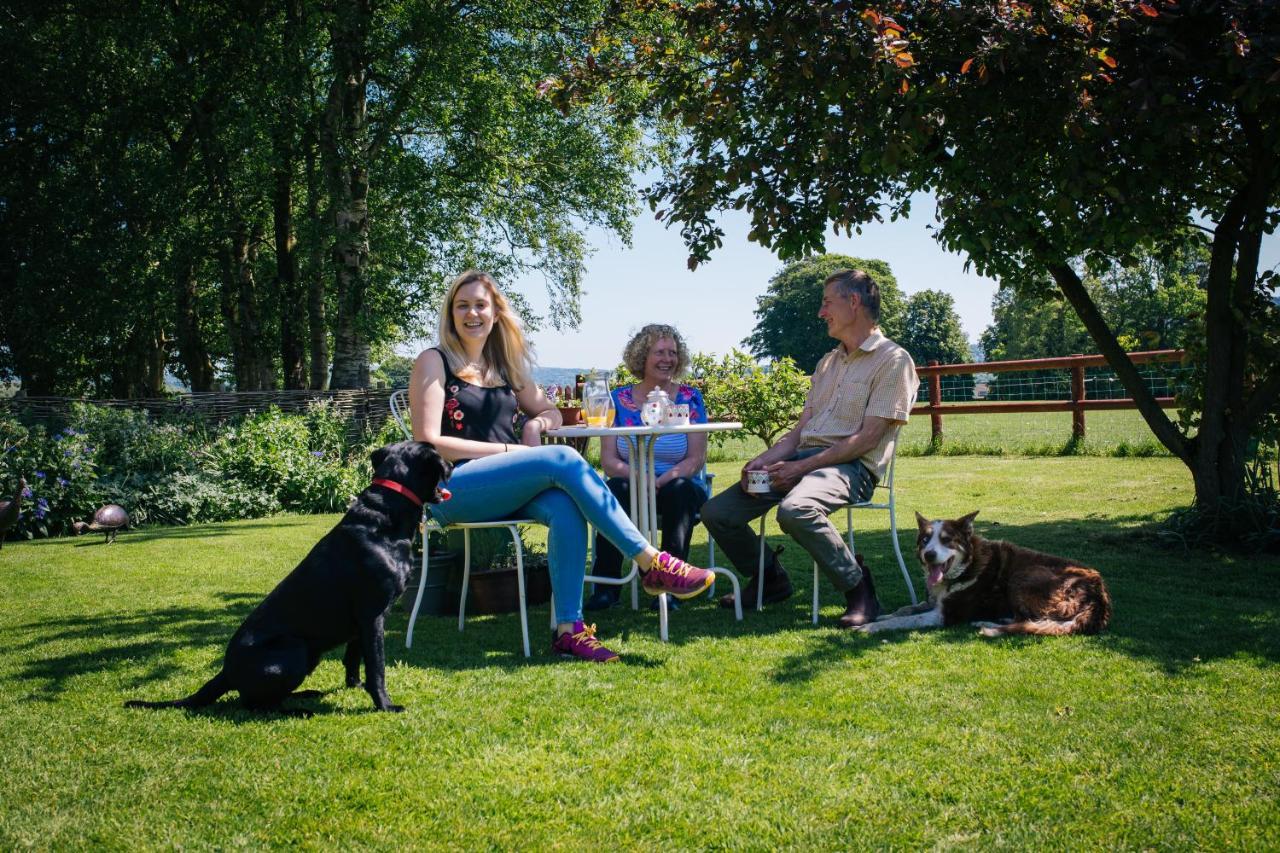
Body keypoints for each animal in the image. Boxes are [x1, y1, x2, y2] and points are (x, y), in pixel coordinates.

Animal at [124, 438, 453, 712]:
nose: (452, 463)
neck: (384, 517)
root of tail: (225, 672)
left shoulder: (363, 621)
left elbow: (353, 658)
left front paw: (354, 686)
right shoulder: (372, 615)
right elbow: (377, 667)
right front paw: (384, 704)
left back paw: (305, 695)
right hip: (294, 649)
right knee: (254, 705)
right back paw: (301, 710)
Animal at [855, 507, 1116, 635]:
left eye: (947, 540)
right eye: (925, 540)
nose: (929, 555)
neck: (966, 567)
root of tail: (1099, 597)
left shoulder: (943, 615)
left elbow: (907, 619)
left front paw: (868, 627)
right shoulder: (934, 602)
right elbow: (907, 609)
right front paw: (884, 615)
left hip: (1023, 577)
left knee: (1029, 621)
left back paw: (987, 623)